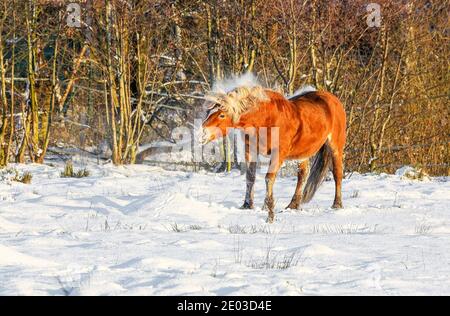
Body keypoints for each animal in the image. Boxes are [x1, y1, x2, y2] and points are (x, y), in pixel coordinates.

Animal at [202, 84, 346, 222]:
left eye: (221, 115)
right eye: (209, 112)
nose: (203, 133)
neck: (266, 118)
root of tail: (333, 99)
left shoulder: (278, 154)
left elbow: (269, 179)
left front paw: (268, 210)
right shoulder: (250, 150)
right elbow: (250, 177)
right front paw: (247, 205)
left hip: (336, 147)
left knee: (337, 173)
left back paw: (337, 205)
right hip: (302, 153)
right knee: (303, 175)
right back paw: (293, 206)